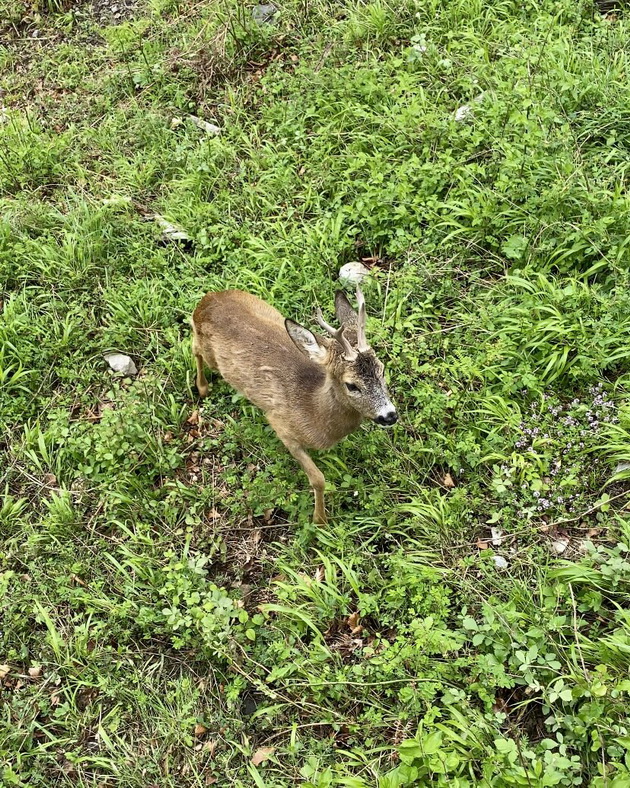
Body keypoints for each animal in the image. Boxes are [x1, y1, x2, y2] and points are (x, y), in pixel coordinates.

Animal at [193, 288, 398, 524]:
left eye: (382, 369)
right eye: (351, 385)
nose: (389, 415)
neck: (312, 410)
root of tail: (207, 299)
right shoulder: (281, 426)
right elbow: (318, 479)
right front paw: (320, 520)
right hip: (209, 354)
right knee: (194, 348)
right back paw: (202, 388)